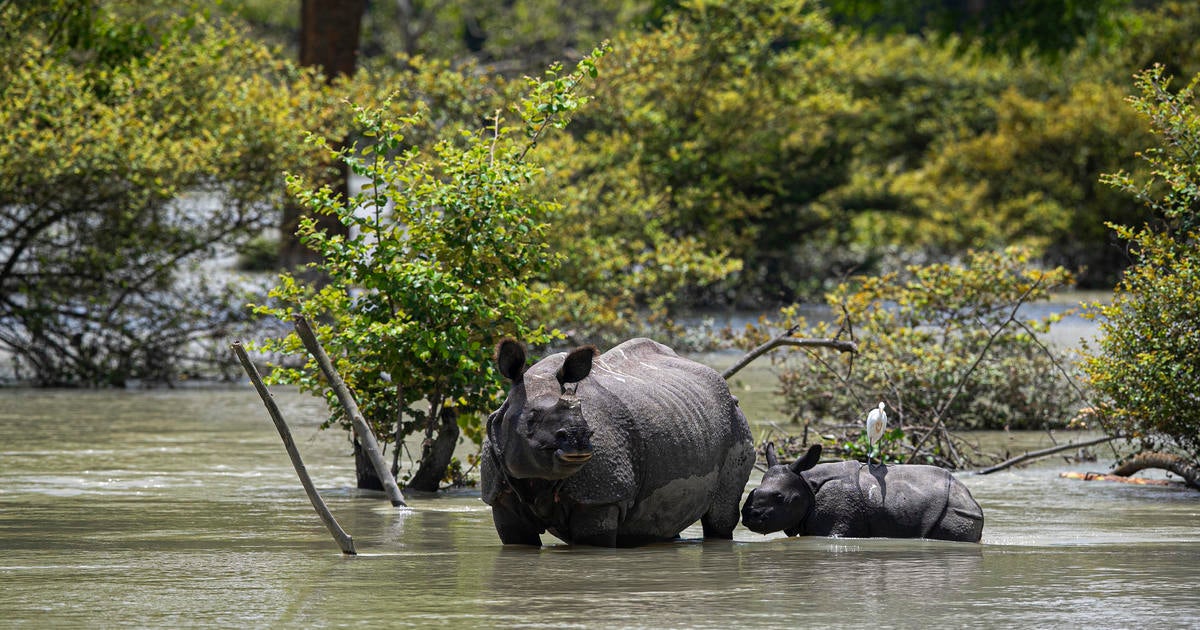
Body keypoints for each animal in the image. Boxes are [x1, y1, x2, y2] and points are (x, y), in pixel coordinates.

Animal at [482, 338, 753, 544]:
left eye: (582, 411)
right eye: (531, 417)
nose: (579, 437)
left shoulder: (602, 498)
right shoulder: (499, 497)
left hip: (735, 420)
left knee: (719, 519)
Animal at [739, 441, 984, 540]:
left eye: (779, 497)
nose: (749, 516)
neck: (807, 483)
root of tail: (970, 498)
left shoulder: (838, 522)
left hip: (953, 510)